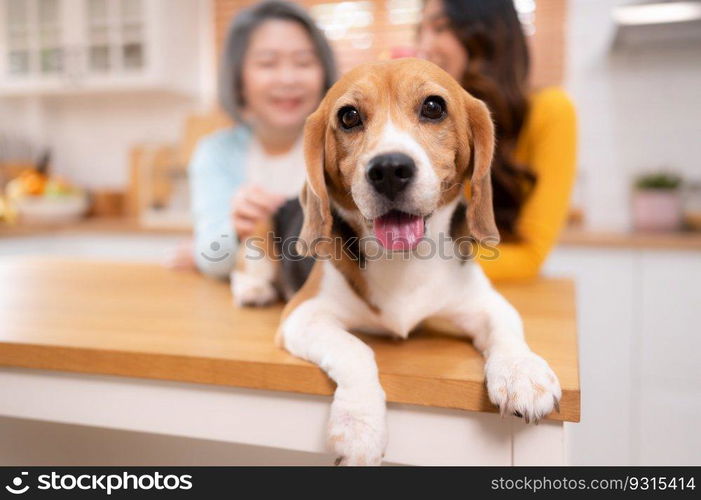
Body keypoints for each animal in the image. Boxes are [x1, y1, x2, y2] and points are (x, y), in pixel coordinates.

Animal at [232, 60, 560, 466]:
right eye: (349, 116)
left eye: (433, 107)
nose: (388, 169)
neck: (405, 261)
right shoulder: (302, 314)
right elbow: (357, 350)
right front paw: (359, 426)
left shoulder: (484, 302)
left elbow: (508, 328)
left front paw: (523, 373)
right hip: (258, 233)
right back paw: (254, 290)